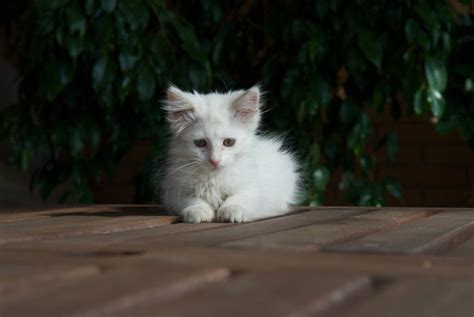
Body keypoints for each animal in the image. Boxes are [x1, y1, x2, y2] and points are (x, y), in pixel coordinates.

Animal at [159, 84, 300, 222]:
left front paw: (231, 210)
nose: (215, 161)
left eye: (228, 142)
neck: (214, 177)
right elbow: (191, 199)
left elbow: (238, 197)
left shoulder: (254, 189)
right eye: (200, 143)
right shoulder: (174, 193)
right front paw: (198, 210)